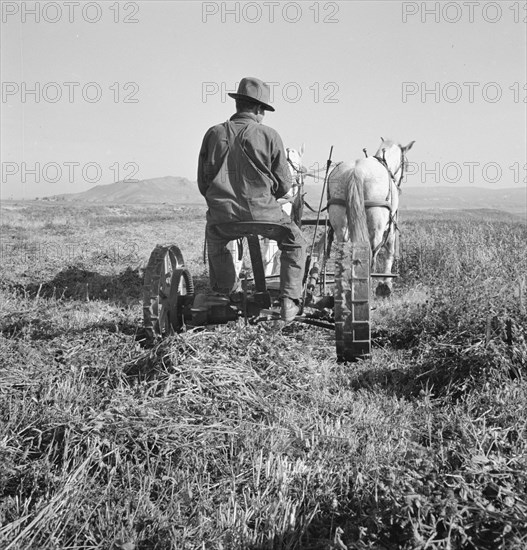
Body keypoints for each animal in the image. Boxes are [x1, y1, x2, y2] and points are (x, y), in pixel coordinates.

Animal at [326, 139, 416, 298]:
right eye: (405, 163)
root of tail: (356, 171)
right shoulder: (390, 227)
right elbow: (389, 252)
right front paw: (386, 284)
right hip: (377, 225)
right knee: (372, 252)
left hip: (340, 220)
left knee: (343, 252)